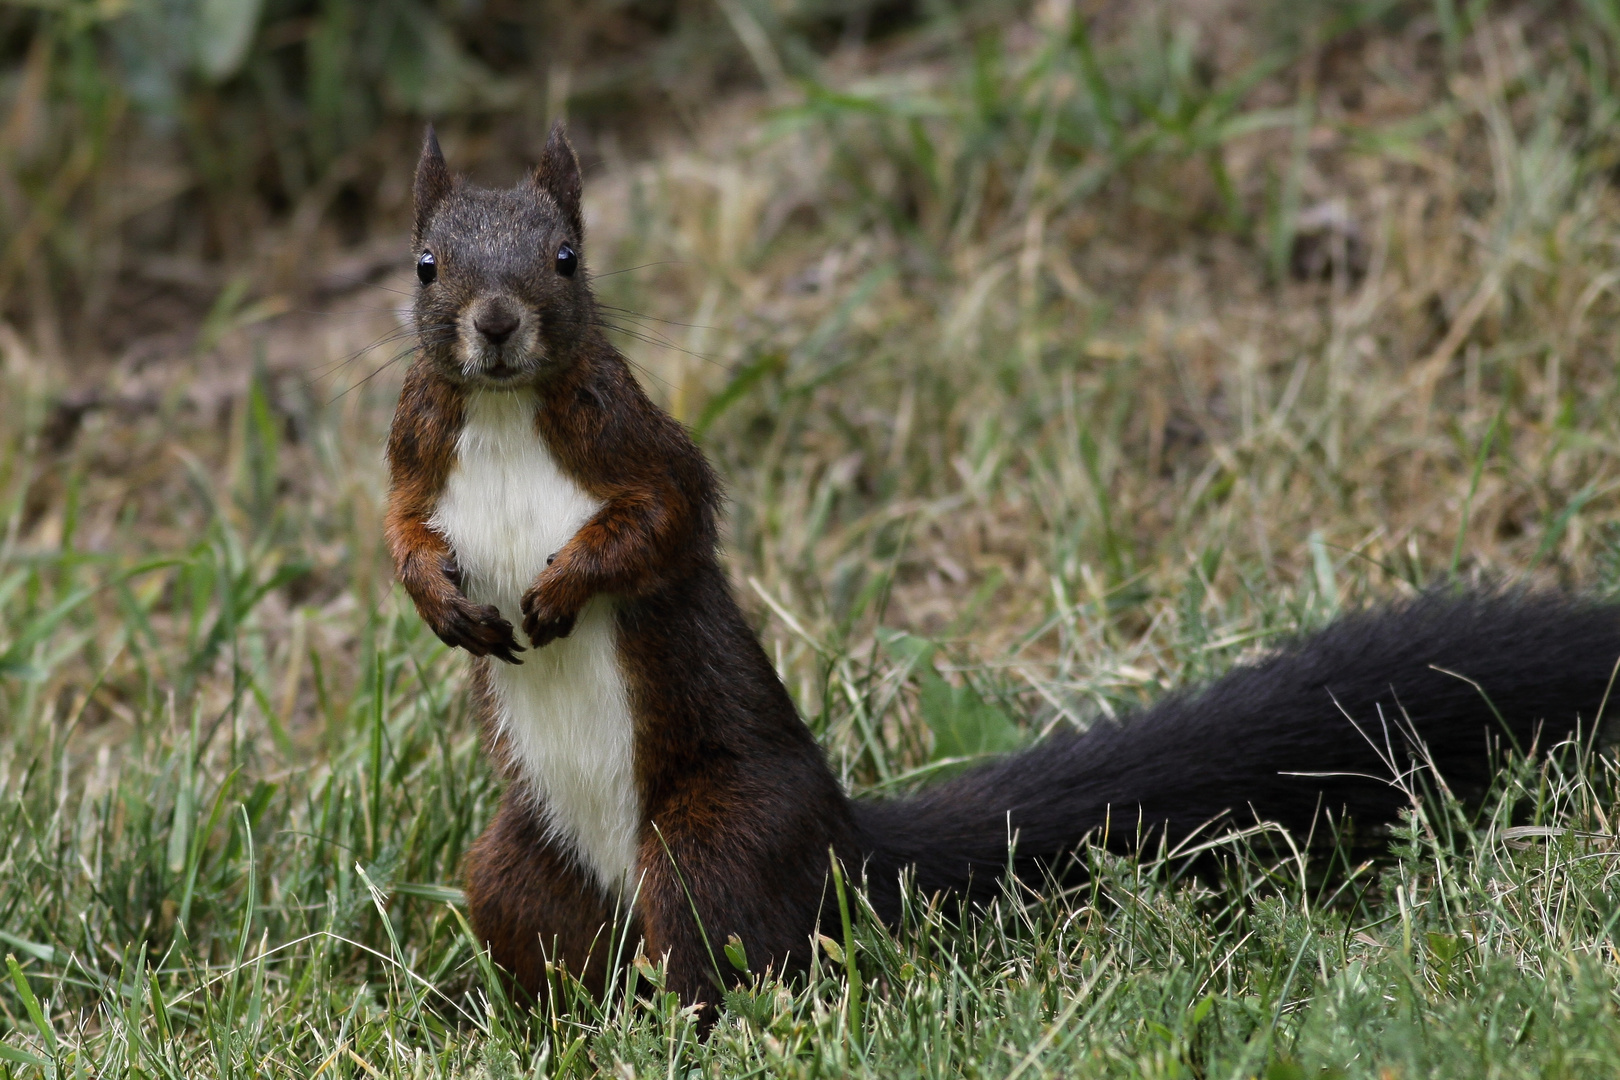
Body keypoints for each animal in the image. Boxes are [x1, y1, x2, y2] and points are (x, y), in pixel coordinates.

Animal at [385, 122, 1620, 1016]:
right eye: (427, 264)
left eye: (566, 258)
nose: (496, 325)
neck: (507, 417)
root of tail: (851, 848)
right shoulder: (414, 459)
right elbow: (398, 532)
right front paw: (443, 599)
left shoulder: (645, 450)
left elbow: (661, 525)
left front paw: (558, 586)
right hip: (517, 867)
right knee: (562, 956)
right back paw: (541, 1024)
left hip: (713, 840)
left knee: (722, 958)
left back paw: (685, 1027)